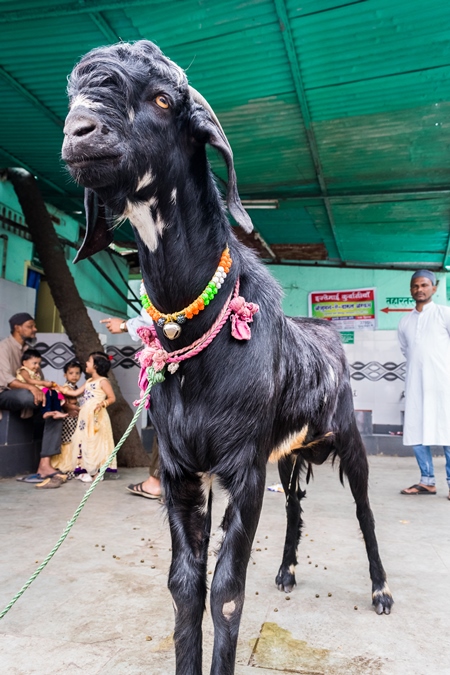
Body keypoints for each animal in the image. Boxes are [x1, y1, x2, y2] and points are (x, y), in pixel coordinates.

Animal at [61, 41, 392, 675]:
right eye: (74, 96)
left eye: (164, 99)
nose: (78, 133)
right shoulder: (182, 469)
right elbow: (184, 586)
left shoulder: (242, 467)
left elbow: (228, 593)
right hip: (289, 452)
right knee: (296, 508)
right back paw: (286, 570)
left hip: (346, 438)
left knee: (365, 511)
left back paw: (382, 590)